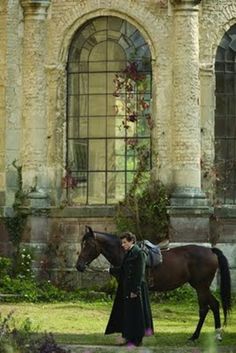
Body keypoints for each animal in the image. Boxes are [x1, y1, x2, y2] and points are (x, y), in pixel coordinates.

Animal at [76, 226, 231, 340]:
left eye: (89, 244)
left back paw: (204, 335)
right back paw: (204, 335)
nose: (79, 266)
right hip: (200, 287)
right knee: (211, 306)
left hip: (201, 286)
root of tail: (211, 251)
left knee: (208, 307)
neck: (126, 253)